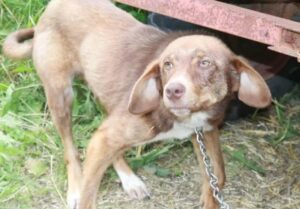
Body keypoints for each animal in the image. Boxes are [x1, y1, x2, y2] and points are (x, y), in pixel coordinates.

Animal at [2, 0, 270, 209]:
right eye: (167, 65)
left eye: (205, 63)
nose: (172, 91)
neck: (188, 118)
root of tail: (50, 8)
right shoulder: (107, 137)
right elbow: (89, 194)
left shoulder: (205, 131)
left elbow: (219, 174)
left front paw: (209, 198)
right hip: (61, 94)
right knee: (70, 148)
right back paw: (76, 187)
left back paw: (128, 178)